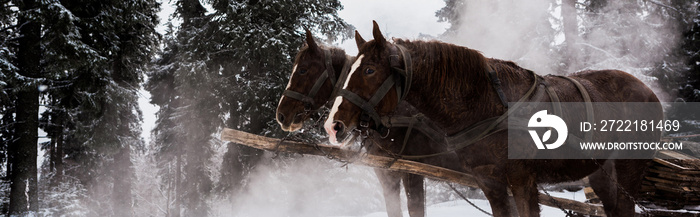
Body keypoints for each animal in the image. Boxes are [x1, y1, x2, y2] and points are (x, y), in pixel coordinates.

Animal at [322, 20, 660, 217]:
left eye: (369, 70)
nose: (333, 125)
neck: (486, 103)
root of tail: (649, 91)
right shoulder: (490, 181)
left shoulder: (523, 180)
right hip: (602, 174)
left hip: (630, 169)